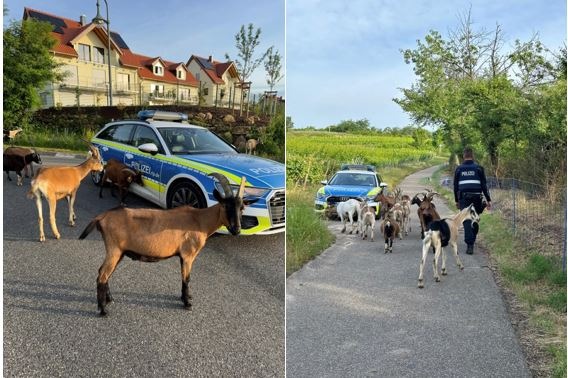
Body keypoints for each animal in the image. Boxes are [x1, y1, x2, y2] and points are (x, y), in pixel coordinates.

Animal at [78, 173, 260, 316]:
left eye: (242, 208)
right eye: (225, 205)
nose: (236, 229)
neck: (199, 220)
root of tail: (102, 217)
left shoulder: (183, 256)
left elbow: (184, 278)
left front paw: (186, 297)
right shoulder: (188, 255)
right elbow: (186, 278)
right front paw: (187, 303)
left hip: (119, 252)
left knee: (104, 273)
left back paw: (109, 299)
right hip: (114, 249)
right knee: (102, 275)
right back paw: (103, 310)